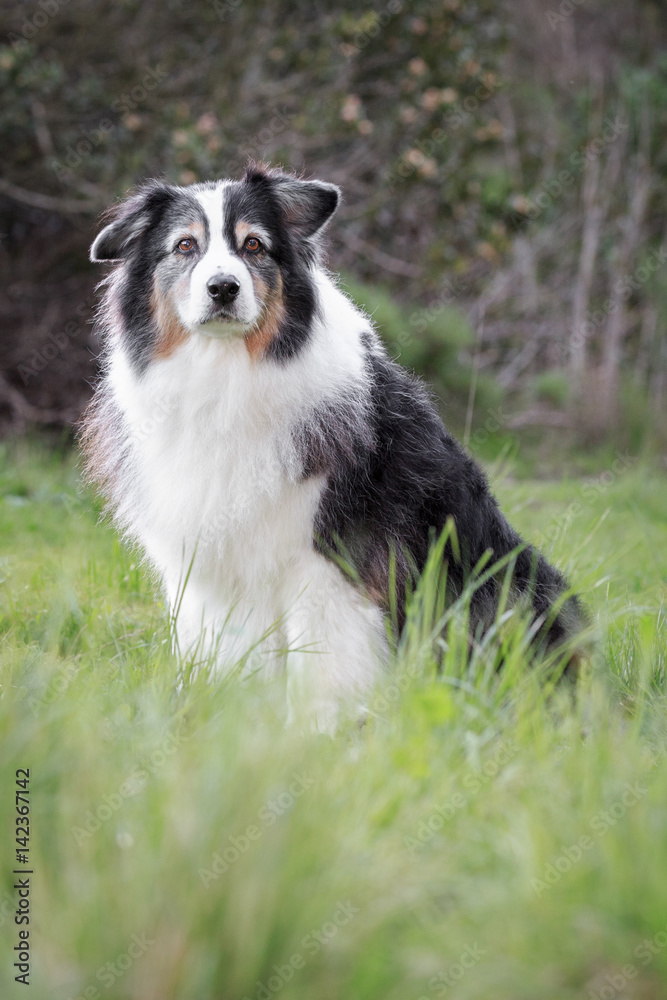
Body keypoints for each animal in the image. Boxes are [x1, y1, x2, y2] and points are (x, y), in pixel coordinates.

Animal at [82, 162, 584, 728]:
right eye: (185, 246)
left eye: (254, 246)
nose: (223, 288)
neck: (227, 373)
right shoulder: (218, 569)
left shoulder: (328, 559)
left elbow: (323, 662)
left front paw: (321, 730)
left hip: (510, 585)